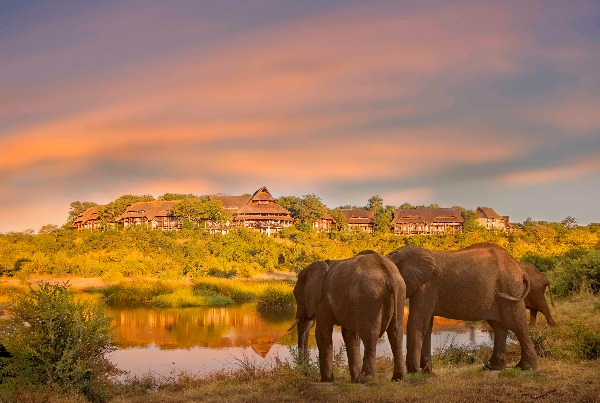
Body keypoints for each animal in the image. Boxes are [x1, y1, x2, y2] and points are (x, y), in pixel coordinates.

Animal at [288, 251, 408, 384]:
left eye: (295, 294)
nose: (306, 373)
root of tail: (389, 275)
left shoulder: (323, 302)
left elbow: (322, 334)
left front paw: (326, 380)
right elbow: (350, 335)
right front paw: (353, 380)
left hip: (370, 297)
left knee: (370, 335)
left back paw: (365, 379)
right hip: (400, 293)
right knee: (395, 333)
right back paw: (398, 378)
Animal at [390, 241, 540, 374]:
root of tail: (519, 269)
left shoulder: (426, 287)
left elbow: (417, 322)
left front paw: (415, 373)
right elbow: (426, 325)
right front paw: (428, 373)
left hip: (510, 289)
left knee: (516, 324)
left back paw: (526, 368)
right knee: (499, 328)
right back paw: (493, 368)